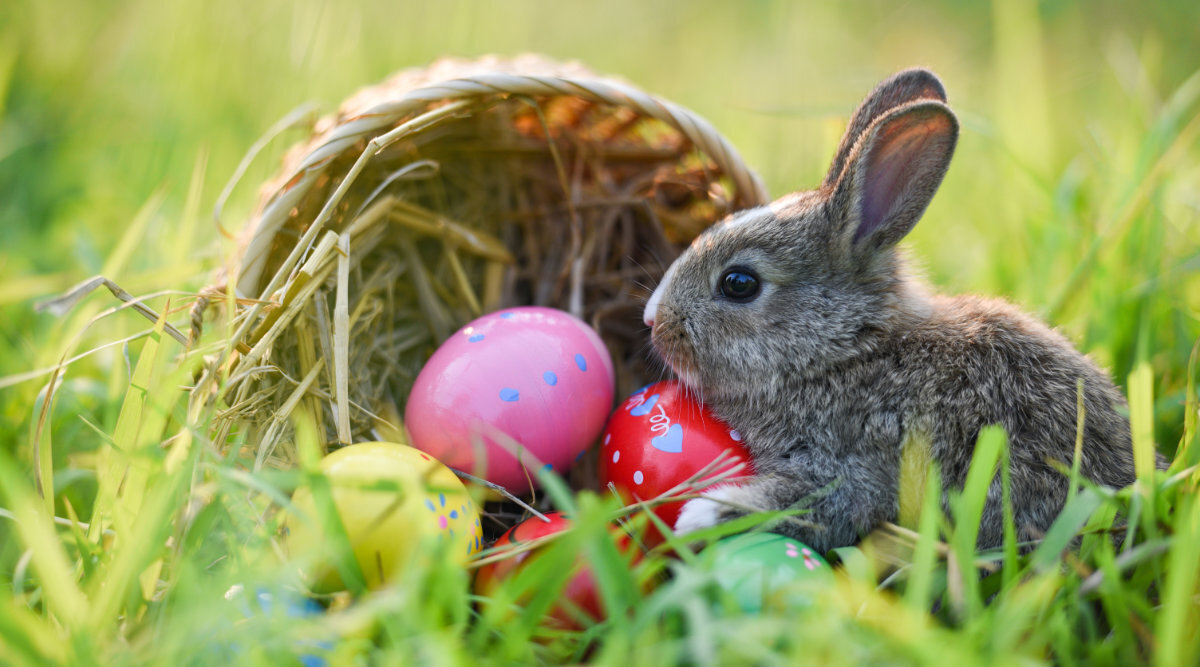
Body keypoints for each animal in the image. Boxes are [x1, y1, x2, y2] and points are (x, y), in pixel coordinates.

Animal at [648, 70, 1161, 554]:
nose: (654, 322)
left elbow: (816, 504)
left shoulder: (852, 465)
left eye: (739, 284)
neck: (847, 352)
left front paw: (696, 518)